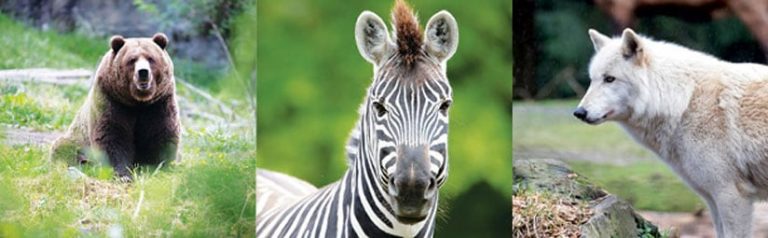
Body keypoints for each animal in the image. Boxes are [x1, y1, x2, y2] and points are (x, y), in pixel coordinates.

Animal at [50, 32, 180, 181]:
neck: (138, 102)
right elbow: (112, 137)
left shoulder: (158, 104)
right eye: (132, 60)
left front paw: (154, 169)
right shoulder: (111, 101)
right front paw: (123, 174)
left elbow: (160, 136)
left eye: (151, 58)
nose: (143, 72)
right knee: (63, 148)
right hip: (77, 140)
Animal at [580, 28, 768, 237]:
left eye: (609, 79)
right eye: (592, 80)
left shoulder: (731, 195)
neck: (684, 102)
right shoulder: (713, 198)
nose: (579, 112)